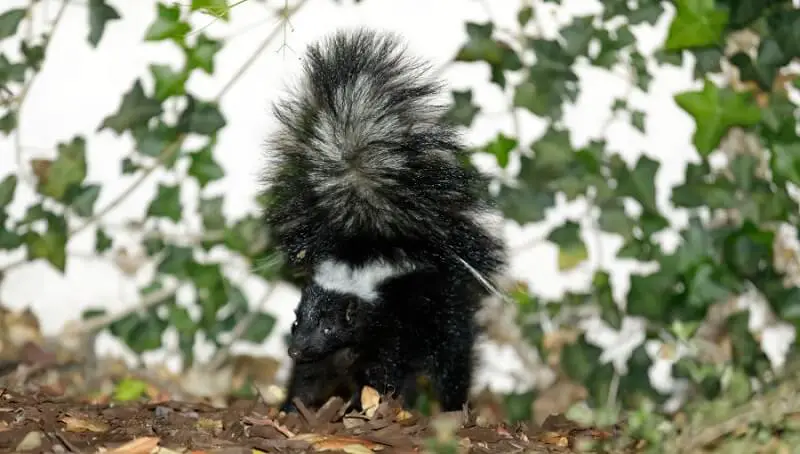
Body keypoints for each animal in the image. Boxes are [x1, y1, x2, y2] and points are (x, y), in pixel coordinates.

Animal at [262, 27, 506, 412]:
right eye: (296, 319)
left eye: (329, 327)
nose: (295, 350)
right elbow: (311, 377)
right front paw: (292, 408)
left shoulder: (391, 328)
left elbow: (382, 375)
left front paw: (365, 408)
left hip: (444, 314)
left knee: (454, 360)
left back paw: (452, 406)